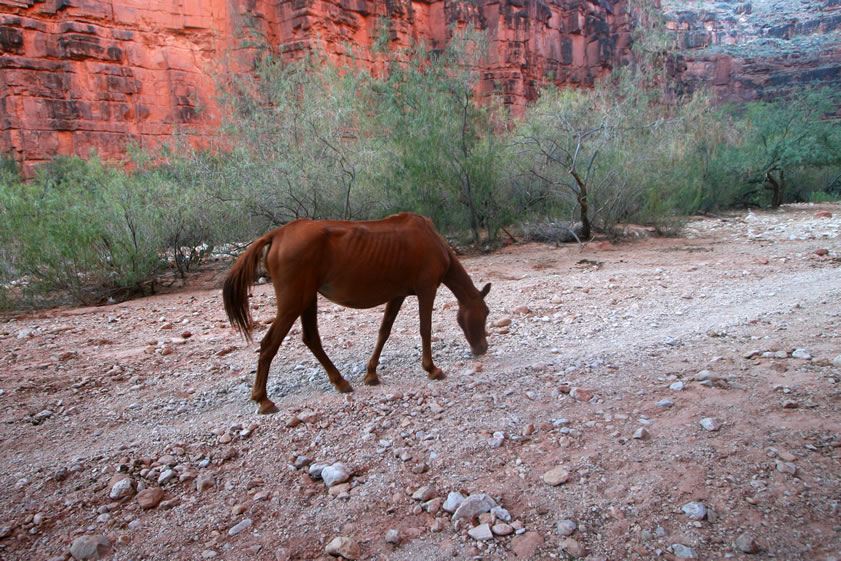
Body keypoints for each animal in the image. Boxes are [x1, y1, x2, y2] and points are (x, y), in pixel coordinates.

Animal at [223, 210, 488, 412]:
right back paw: (263, 399)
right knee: (269, 344)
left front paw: (371, 374)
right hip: (293, 303)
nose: (482, 348)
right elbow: (425, 329)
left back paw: (340, 382)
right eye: (485, 313)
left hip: (307, 299)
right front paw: (432, 369)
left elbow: (384, 331)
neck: (431, 239)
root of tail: (277, 234)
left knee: (311, 339)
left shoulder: (398, 295)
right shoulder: (427, 289)